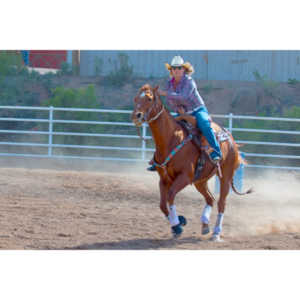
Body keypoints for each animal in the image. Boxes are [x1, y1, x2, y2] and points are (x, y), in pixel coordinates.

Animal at [131, 84, 251, 241]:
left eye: (149, 98)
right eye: (135, 99)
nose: (136, 116)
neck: (172, 138)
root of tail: (231, 139)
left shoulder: (185, 177)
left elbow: (170, 196)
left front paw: (177, 225)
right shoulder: (164, 179)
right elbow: (162, 204)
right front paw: (178, 222)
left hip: (225, 176)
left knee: (221, 203)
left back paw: (216, 232)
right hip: (200, 180)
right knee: (210, 199)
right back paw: (205, 225)